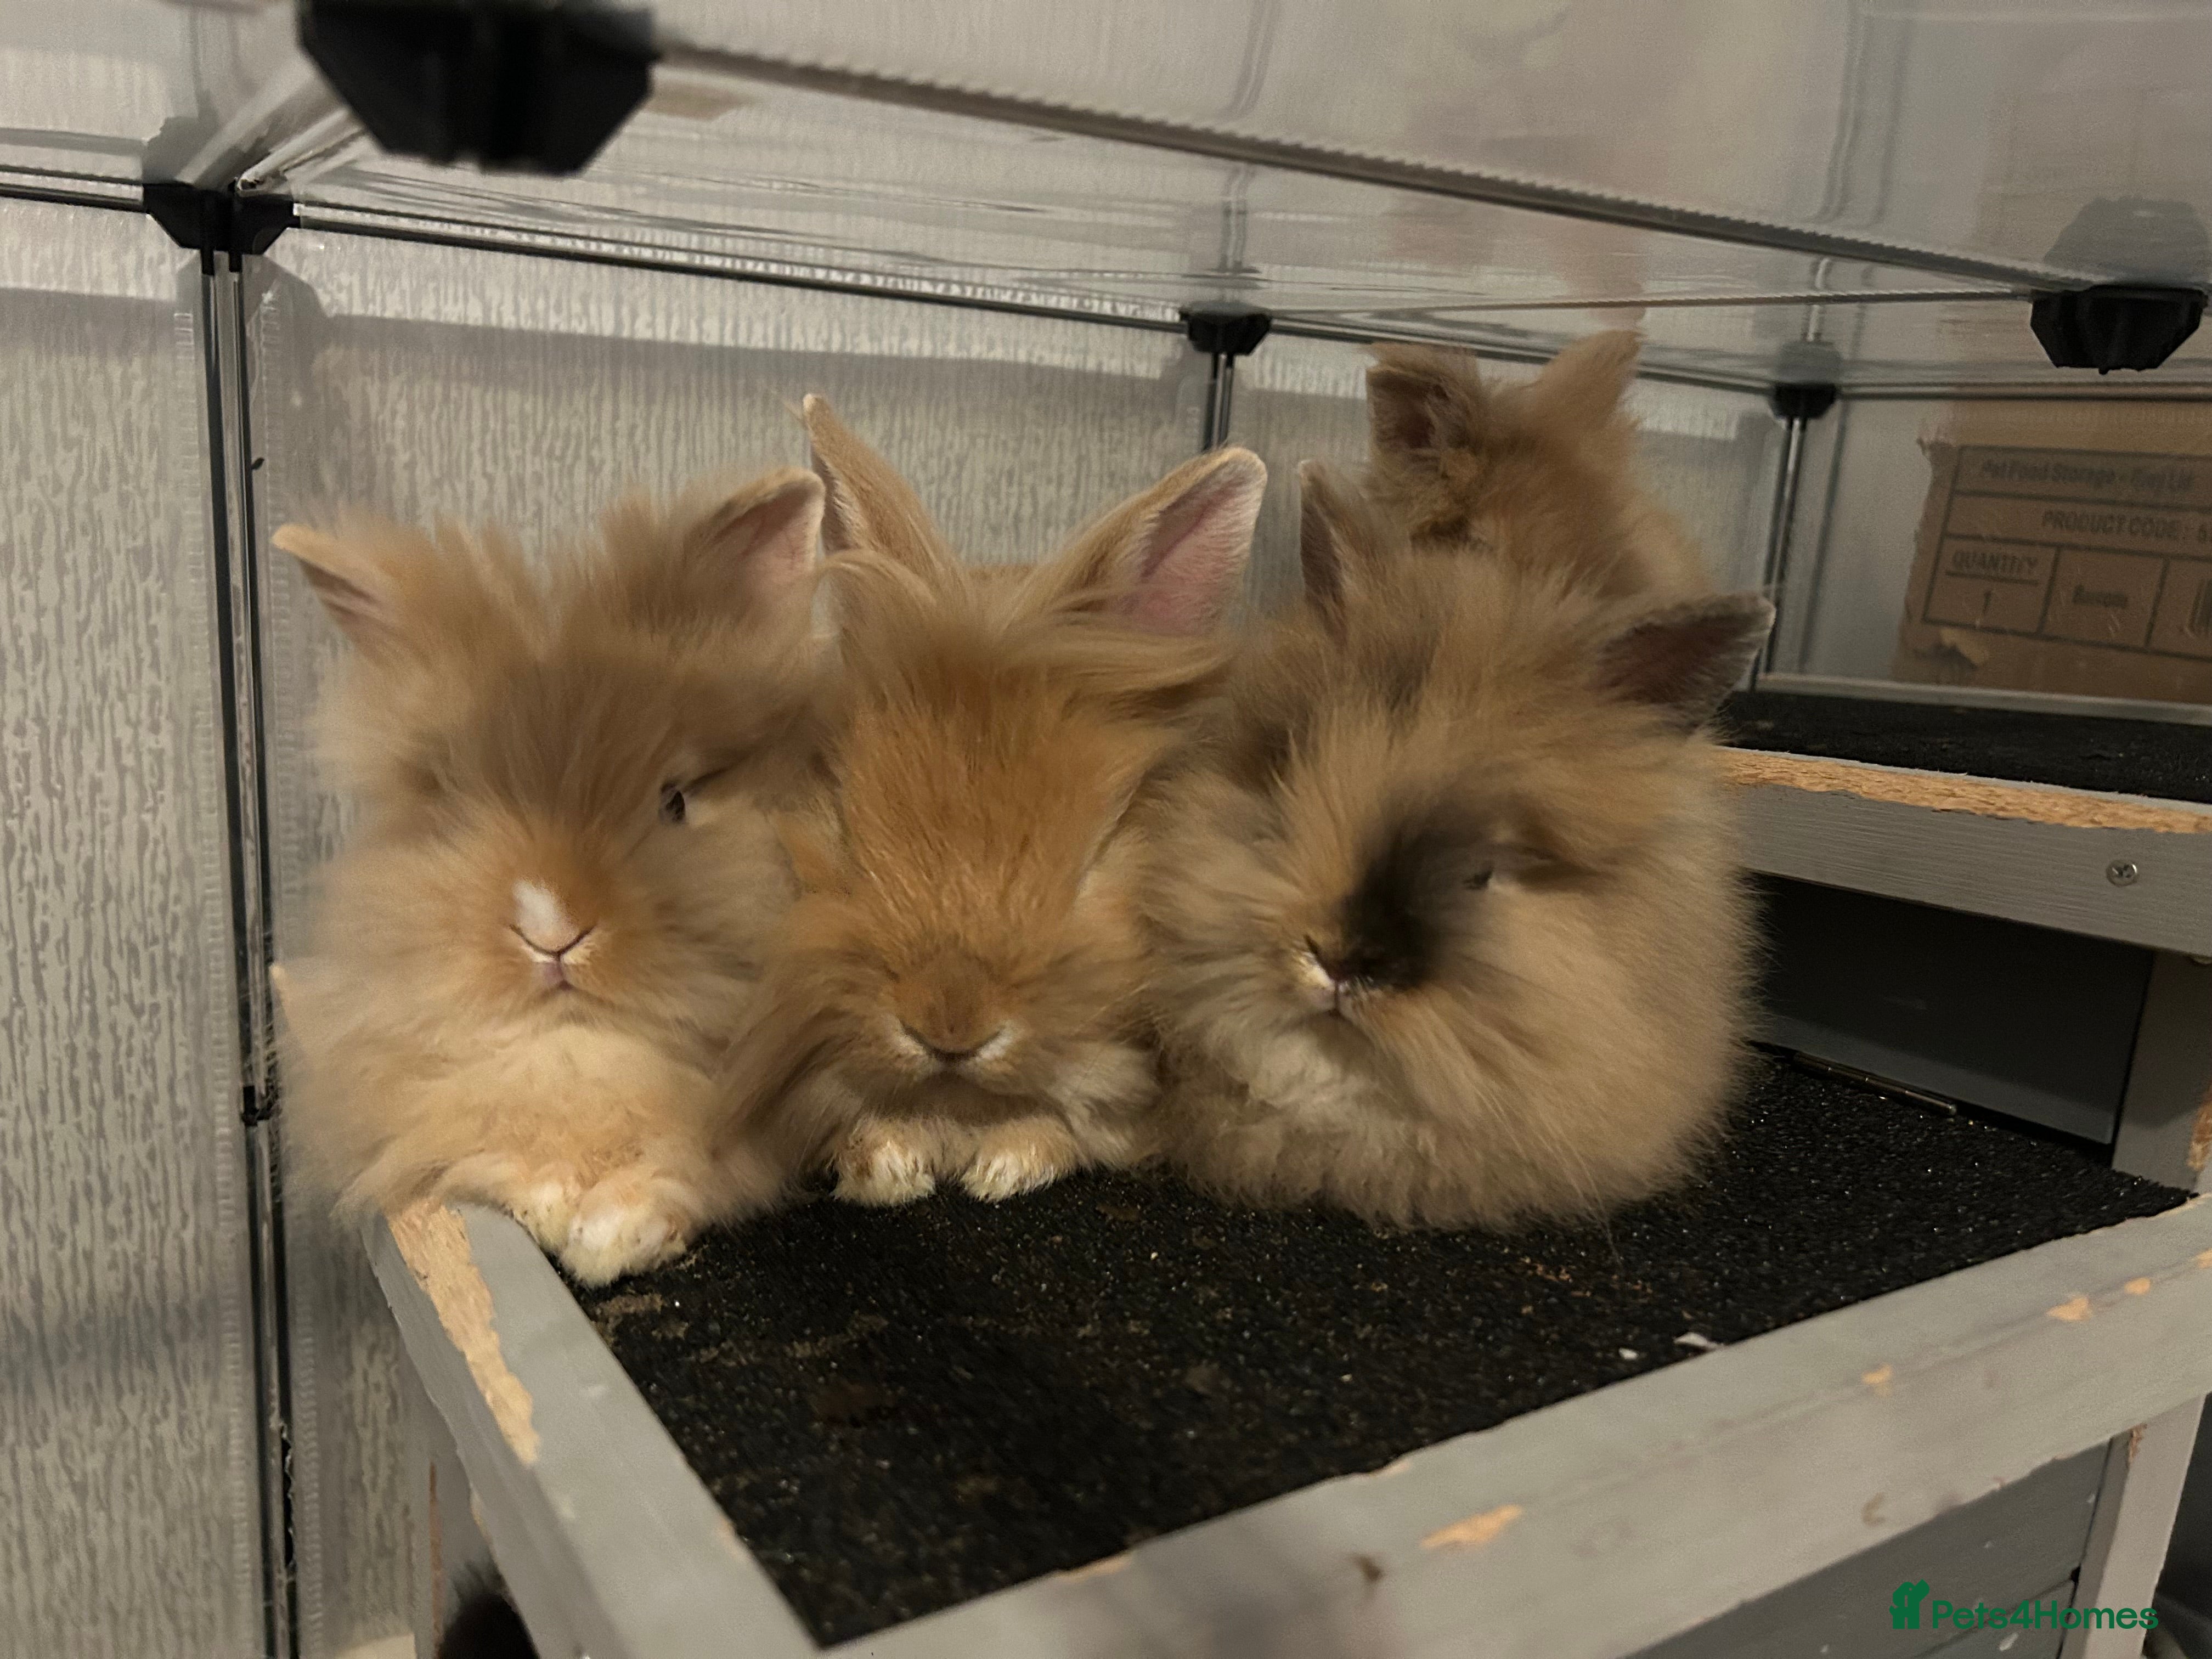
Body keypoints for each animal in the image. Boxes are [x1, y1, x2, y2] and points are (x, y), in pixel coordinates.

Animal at [270, 466, 826, 1283]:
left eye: (676, 801)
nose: (552, 928)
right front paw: (554, 1203)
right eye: (454, 807)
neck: (578, 1048)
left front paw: (612, 1236)